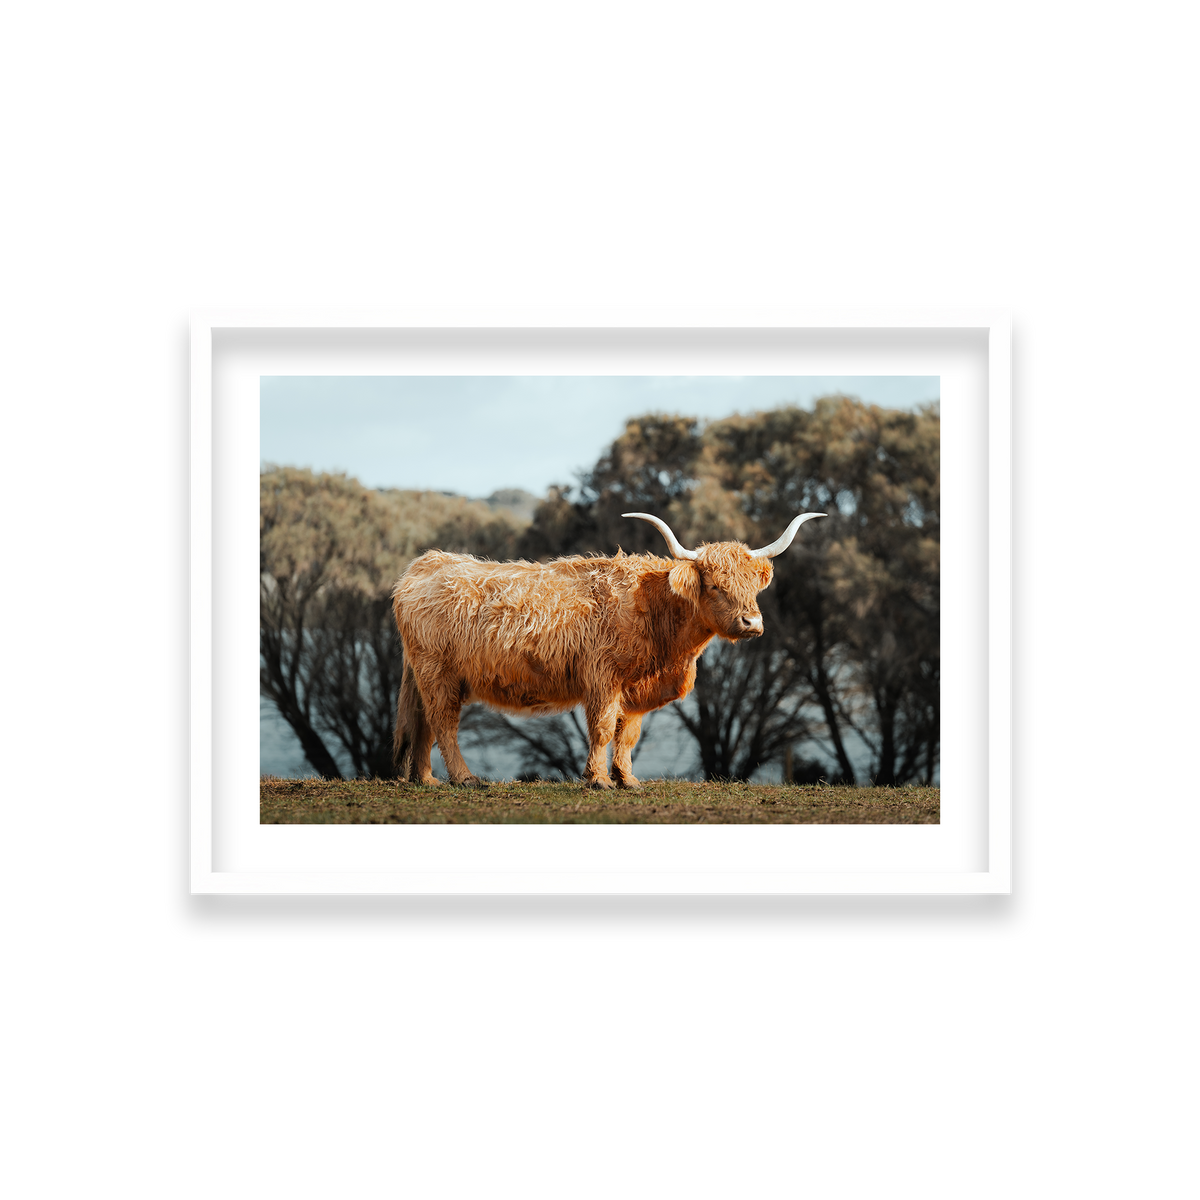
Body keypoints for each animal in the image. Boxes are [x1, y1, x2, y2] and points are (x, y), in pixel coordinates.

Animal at [391, 510, 826, 790]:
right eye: (716, 586)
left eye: (753, 586)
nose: (752, 623)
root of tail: (426, 563)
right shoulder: (603, 678)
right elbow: (601, 729)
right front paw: (598, 780)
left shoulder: (634, 688)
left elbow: (628, 734)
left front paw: (628, 779)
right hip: (438, 673)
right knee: (443, 723)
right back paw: (464, 779)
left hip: (429, 675)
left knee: (424, 724)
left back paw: (426, 779)